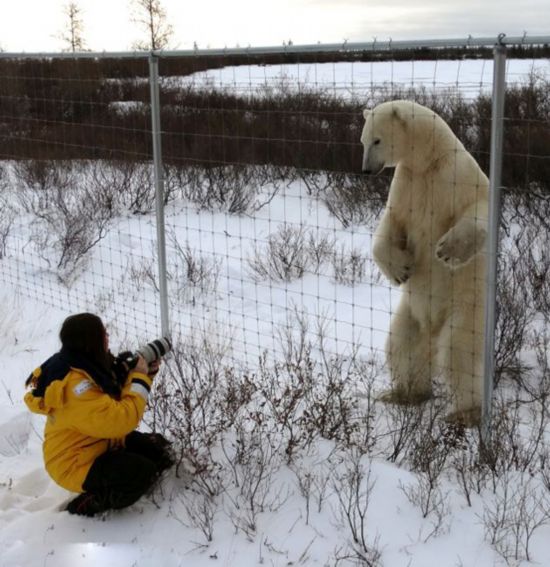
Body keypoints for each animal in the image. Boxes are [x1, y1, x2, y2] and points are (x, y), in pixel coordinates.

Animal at [364, 100, 490, 426]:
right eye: (363, 140)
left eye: (377, 140)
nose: (366, 169)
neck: (428, 160)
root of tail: (433, 327)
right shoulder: (405, 184)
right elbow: (391, 225)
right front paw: (401, 269)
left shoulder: (456, 175)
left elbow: (477, 208)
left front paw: (448, 250)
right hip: (410, 314)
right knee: (402, 346)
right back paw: (405, 394)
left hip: (467, 306)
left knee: (459, 352)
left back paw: (465, 413)